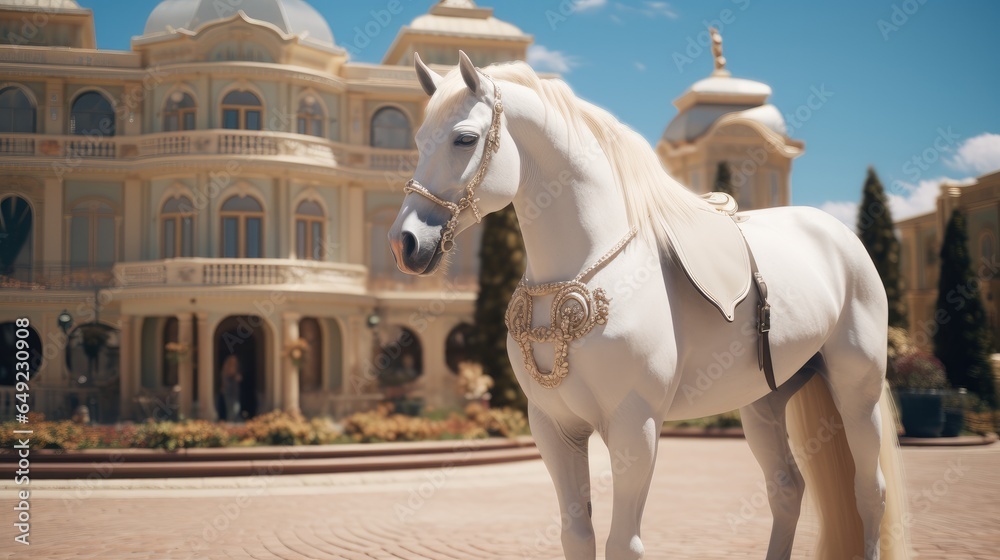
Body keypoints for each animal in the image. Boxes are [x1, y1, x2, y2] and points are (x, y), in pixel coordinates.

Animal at [388, 50, 908, 556]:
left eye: (465, 138)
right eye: (418, 139)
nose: (405, 242)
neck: (585, 270)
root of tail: (841, 236)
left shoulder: (635, 425)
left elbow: (624, 543)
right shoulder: (554, 426)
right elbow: (577, 536)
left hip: (856, 390)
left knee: (871, 493)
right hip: (764, 400)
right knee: (786, 489)